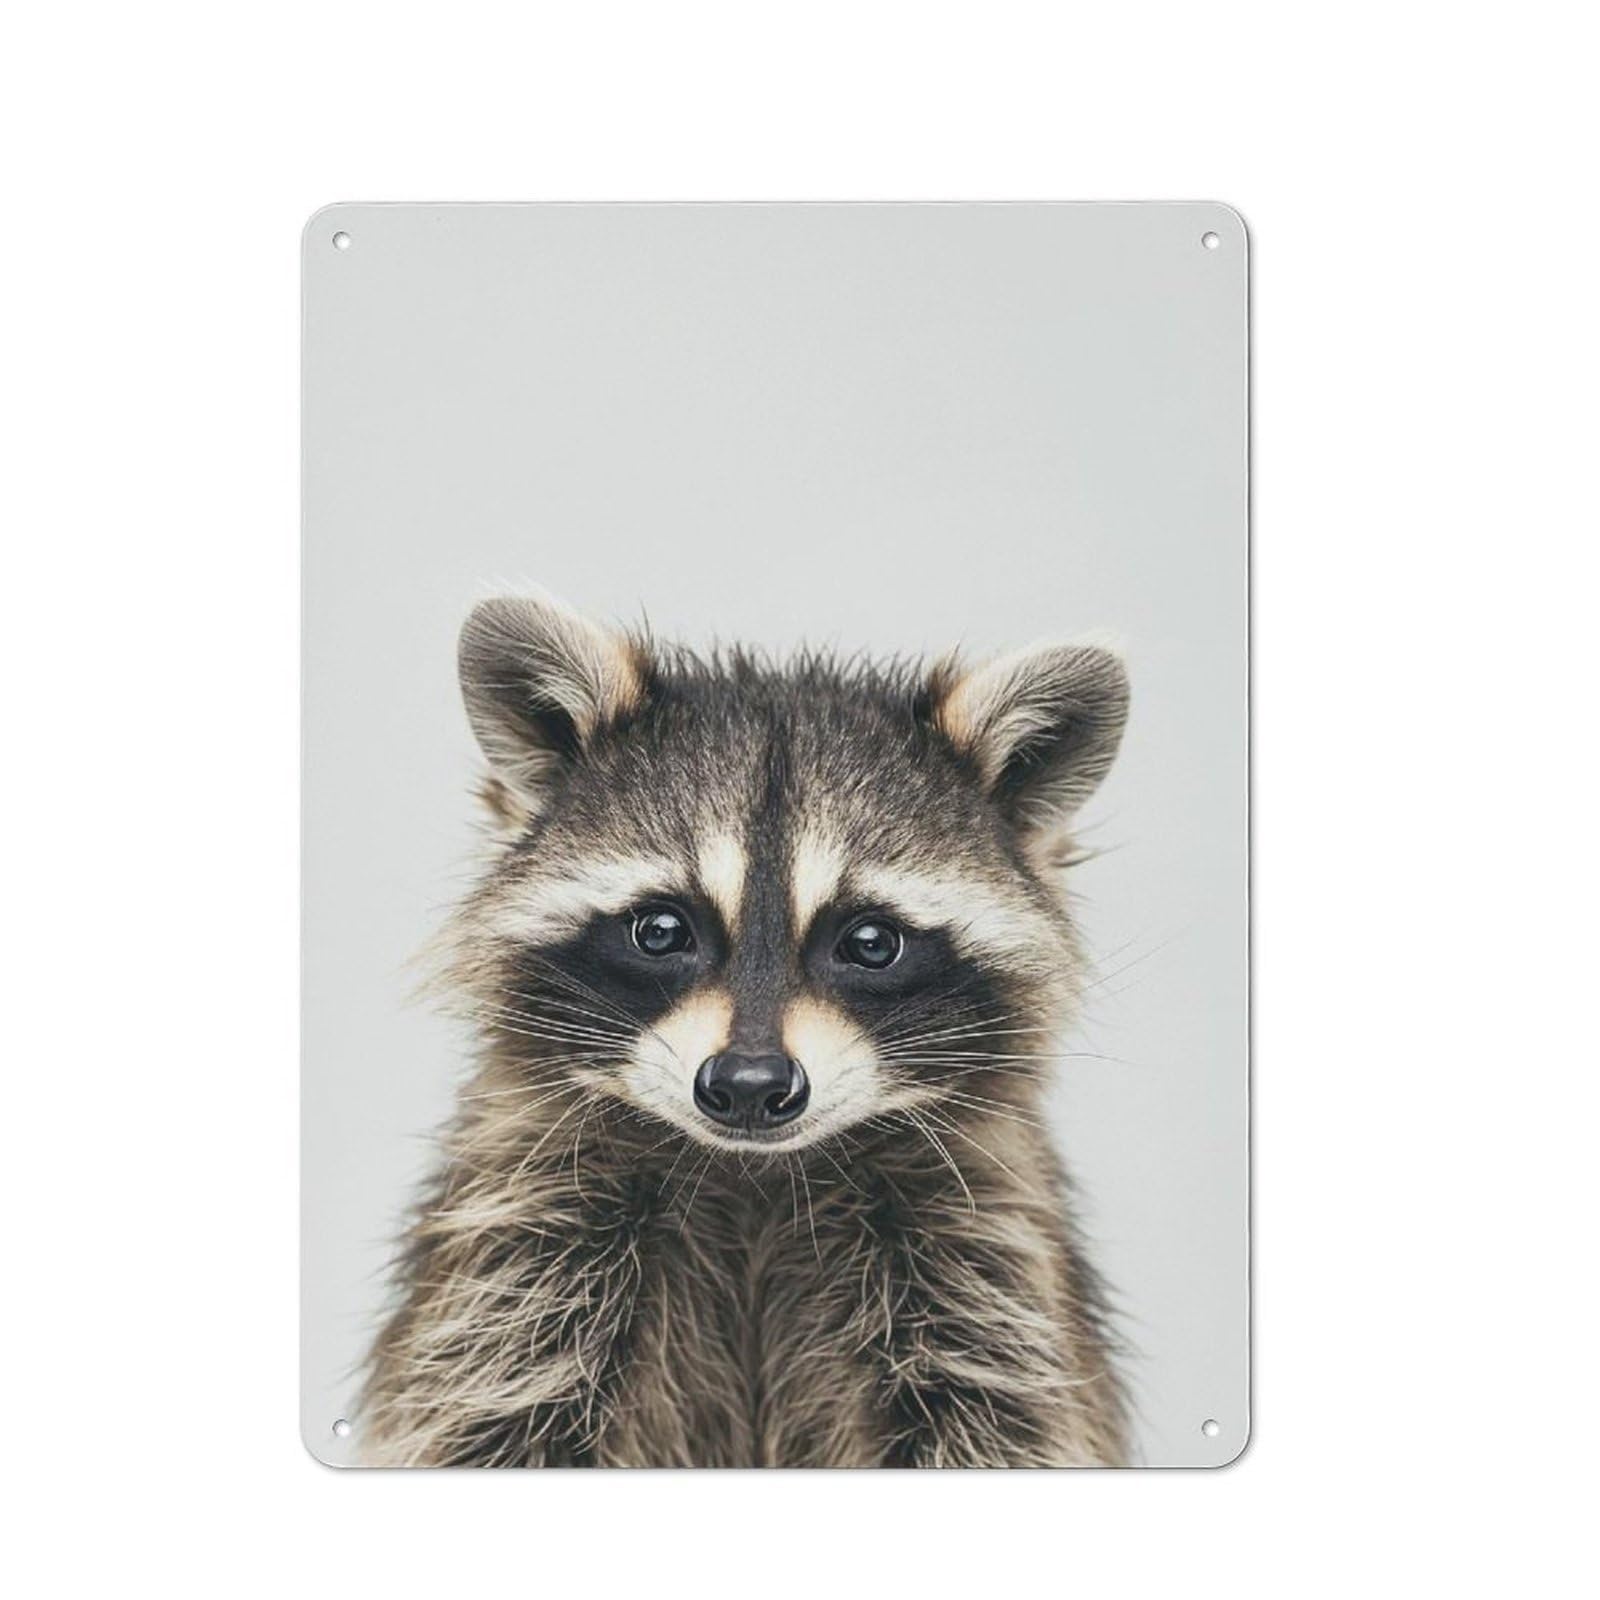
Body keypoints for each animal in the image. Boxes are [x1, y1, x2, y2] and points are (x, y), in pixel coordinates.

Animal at [361, 591, 1133, 1467]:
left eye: (871, 942)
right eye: (660, 931)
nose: (750, 1086)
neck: (756, 1178)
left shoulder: (982, 1257)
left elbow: (999, 1417)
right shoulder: (519, 1242)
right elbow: (492, 1410)